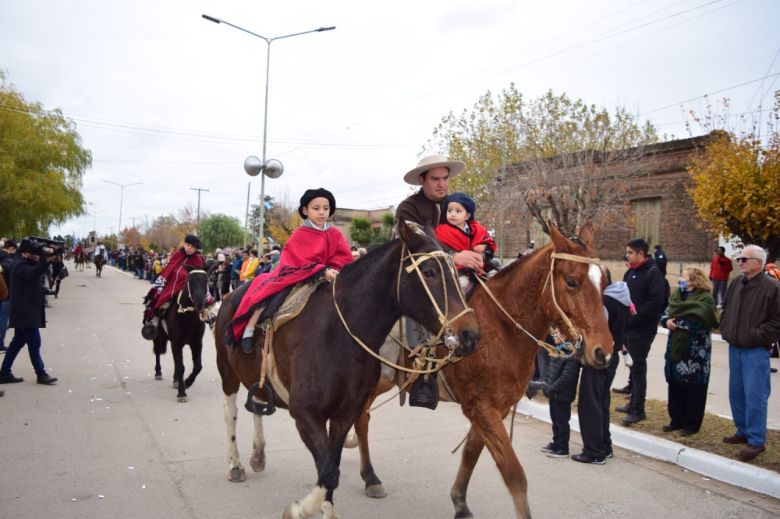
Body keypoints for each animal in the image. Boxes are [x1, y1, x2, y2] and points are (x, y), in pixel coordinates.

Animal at [213, 222, 482, 519]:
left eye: (456, 272)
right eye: (430, 272)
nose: (469, 335)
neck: (340, 334)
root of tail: (230, 295)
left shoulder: (345, 413)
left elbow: (332, 466)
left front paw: (326, 508)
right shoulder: (305, 413)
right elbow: (328, 471)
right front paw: (299, 509)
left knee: (258, 403)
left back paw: (258, 455)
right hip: (227, 372)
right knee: (230, 414)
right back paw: (235, 465)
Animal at [350, 223, 612, 519]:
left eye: (604, 281)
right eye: (571, 281)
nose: (603, 351)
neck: (501, 328)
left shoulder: (495, 408)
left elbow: (471, 453)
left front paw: (460, 502)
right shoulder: (482, 407)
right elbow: (514, 474)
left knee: (362, 418)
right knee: (360, 418)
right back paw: (369, 476)